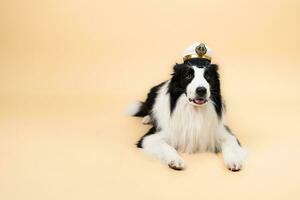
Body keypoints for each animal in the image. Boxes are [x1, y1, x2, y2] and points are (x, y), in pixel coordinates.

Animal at [125, 43, 247, 171]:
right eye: (188, 75)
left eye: (208, 76)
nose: (201, 90)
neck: (194, 110)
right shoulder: (149, 138)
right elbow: (167, 147)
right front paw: (176, 160)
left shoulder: (225, 133)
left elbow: (230, 146)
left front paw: (234, 160)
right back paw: (148, 118)